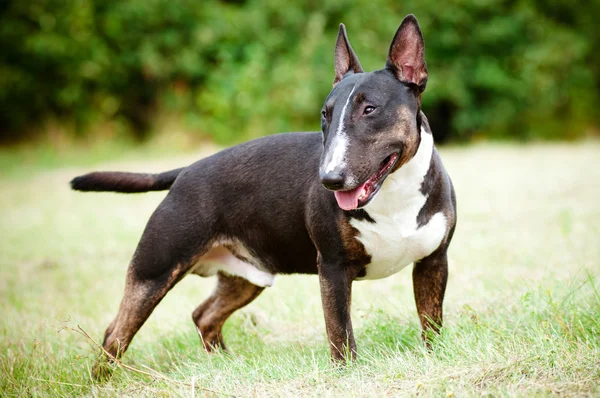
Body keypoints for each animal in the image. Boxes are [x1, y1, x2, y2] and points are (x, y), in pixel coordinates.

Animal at [70, 14, 454, 378]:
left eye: (370, 109)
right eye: (325, 114)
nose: (329, 180)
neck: (393, 192)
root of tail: (186, 171)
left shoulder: (434, 261)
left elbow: (430, 322)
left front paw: (433, 359)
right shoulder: (332, 268)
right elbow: (341, 334)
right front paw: (347, 376)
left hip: (246, 276)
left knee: (203, 315)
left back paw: (224, 365)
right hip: (154, 270)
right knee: (116, 333)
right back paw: (103, 380)